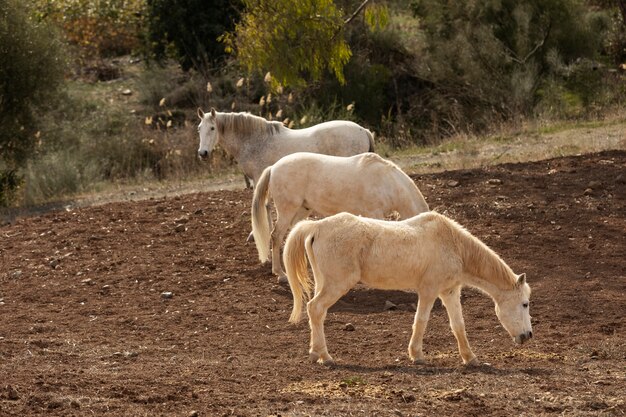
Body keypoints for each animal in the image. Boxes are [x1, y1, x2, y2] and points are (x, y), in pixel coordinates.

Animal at [196, 107, 370, 187]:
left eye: (212, 128)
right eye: (199, 128)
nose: (202, 153)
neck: (254, 140)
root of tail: (363, 131)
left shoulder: (259, 177)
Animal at [249, 151, 428, 282]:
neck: (386, 181)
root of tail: (273, 168)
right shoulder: (374, 214)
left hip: (302, 210)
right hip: (287, 210)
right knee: (276, 236)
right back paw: (280, 274)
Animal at [282, 211, 532, 364]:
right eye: (525, 304)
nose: (528, 335)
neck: (453, 245)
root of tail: (316, 226)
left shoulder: (450, 292)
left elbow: (458, 325)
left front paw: (470, 358)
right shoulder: (429, 291)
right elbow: (421, 321)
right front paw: (417, 355)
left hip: (323, 283)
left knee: (317, 313)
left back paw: (316, 353)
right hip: (336, 285)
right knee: (315, 309)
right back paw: (325, 356)